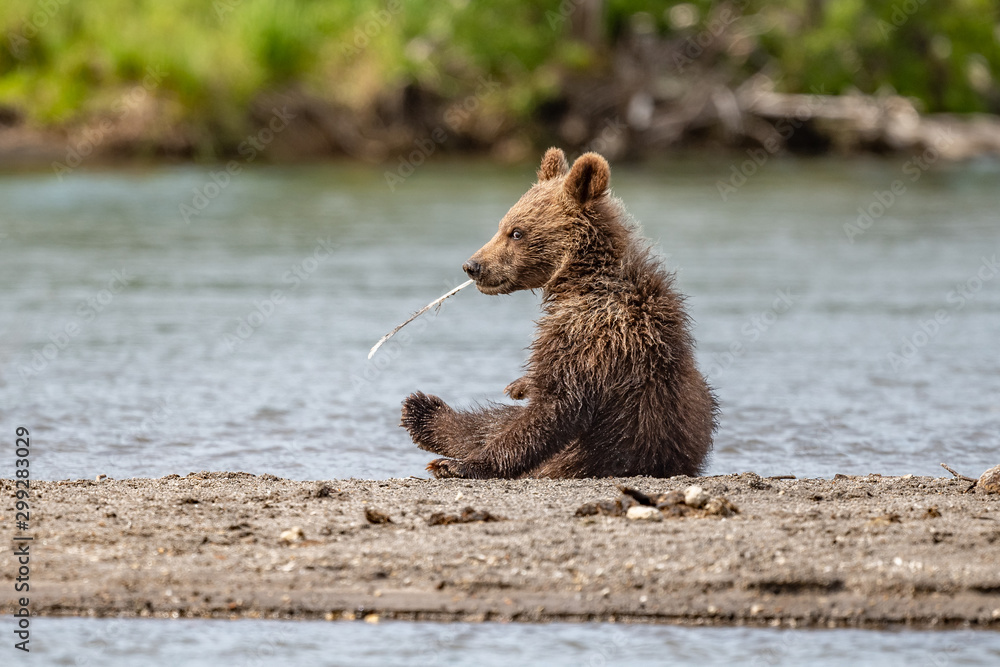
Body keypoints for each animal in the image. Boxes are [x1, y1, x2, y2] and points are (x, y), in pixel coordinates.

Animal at [400, 147, 718, 479]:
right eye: (503, 225)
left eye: (516, 232)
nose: (473, 266)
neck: (582, 279)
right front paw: (520, 384)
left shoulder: (592, 334)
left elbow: (554, 408)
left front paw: (463, 464)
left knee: (496, 422)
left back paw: (425, 413)